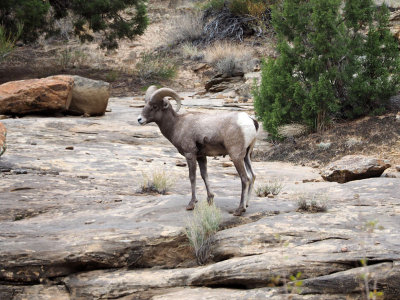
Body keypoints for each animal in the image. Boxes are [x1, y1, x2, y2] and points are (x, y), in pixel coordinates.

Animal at [137, 85, 260, 214]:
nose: (139, 119)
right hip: (247, 155)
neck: (177, 125)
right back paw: (247, 204)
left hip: (236, 156)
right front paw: (210, 200)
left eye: (155, 106)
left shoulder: (190, 155)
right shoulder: (201, 157)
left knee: (245, 179)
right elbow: (204, 175)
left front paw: (191, 204)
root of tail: (250, 120)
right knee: (252, 176)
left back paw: (240, 209)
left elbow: (192, 177)